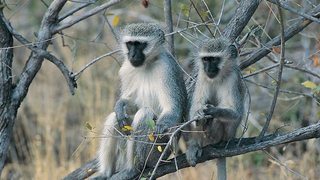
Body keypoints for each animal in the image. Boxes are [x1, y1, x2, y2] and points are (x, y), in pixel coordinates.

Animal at [97, 23, 188, 179]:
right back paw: (105, 173)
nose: (132, 55)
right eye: (130, 44)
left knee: (145, 113)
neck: (147, 64)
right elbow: (131, 105)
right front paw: (120, 105)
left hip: (158, 152)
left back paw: (134, 169)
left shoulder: (167, 68)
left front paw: (161, 126)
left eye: (139, 45)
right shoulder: (126, 69)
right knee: (115, 119)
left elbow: (172, 109)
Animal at [185, 37, 245, 180]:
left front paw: (212, 111)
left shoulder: (233, 78)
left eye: (214, 60)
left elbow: (236, 112)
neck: (219, 77)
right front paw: (199, 115)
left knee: (219, 120)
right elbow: (195, 107)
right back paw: (195, 145)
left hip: (227, 135)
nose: (208, 68)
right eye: (206, 59)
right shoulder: (202, 76)